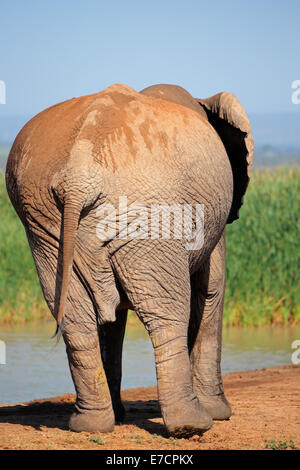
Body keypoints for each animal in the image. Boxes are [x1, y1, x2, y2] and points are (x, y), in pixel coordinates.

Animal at [5, 81, 253, 436]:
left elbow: (110, 316)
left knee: (77, 316)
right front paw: (221, 414)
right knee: (167, 312)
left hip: (44, 225)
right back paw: (191, 426)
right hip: (152, 212)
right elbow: (212, 289)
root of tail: (78, 174)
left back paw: (91, 425)